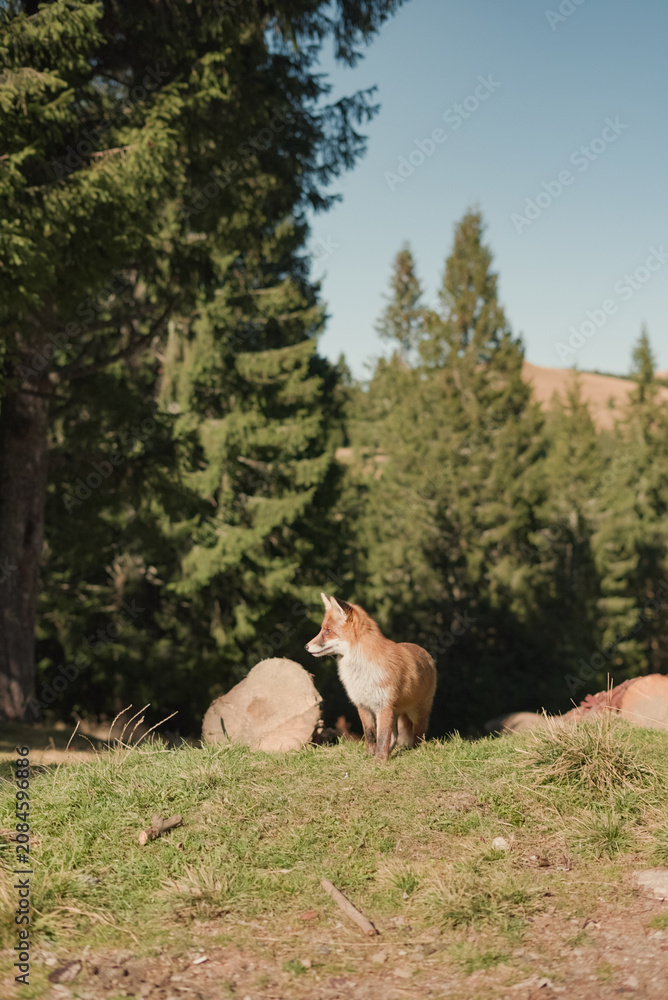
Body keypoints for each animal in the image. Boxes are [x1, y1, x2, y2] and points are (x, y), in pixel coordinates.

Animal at [305, 593, 437, 762]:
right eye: (322, 629)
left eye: (328, 631)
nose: (306, 647)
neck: (361, 670)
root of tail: (425, 652)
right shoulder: (363, 706)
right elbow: (370, 735)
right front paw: (370, 755)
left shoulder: (384, 706)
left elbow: (382, 736)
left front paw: (380, 761)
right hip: (396, 713)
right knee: (395, 736)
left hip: (416, 712)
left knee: (419, 732)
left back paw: (416, 749)